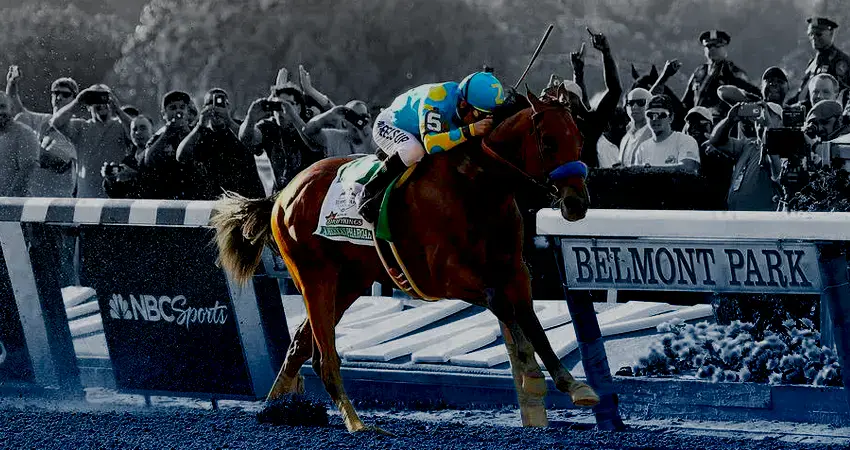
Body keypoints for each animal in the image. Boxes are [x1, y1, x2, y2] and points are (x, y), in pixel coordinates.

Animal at [211, 88, 597, 433]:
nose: (576, 204)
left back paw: (277, 410)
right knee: (324, 357)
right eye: (548, 141)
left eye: (578, 136)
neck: (476, 187)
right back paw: (356, 423)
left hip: (349, 281)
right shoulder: (444, 277)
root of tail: (282, 193)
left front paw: (574, 385)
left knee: (299, 346)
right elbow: (501, 303)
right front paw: (531, 378)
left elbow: (530, 318)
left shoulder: (515, 270)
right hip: (313, 275)